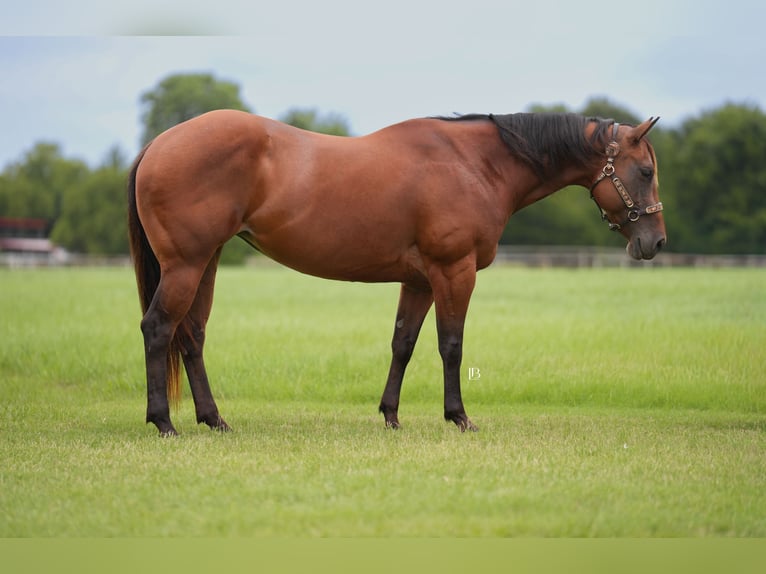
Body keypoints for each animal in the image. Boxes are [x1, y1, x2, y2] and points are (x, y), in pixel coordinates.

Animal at [127, 110, 666, 436]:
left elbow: (403, 344)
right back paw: (164, 422)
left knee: (191, 335)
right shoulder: (454, 272)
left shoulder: (420, 280)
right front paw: (459, 417)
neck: (474, 165)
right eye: (645, 172)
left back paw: (213, 419)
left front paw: (390, 416)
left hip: (207, 262)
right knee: (158, 328)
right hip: (186, 265)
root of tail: (160, 142)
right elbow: (451, 345)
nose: (655, 243)